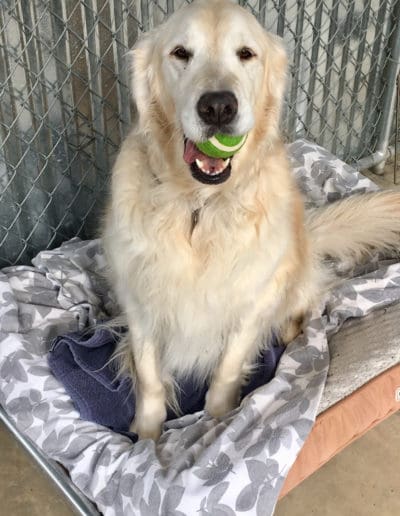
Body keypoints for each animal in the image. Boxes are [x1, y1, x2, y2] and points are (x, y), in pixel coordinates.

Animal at [102, 0, 400, 440]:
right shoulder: (139, 301)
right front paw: (148, 438)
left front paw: (219, 422)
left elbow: (226, 370)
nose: (218, 106)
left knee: (306, 305)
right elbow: (150, 376)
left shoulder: (250, 299)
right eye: (180, 53)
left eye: (246, 54)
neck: (200, 207)